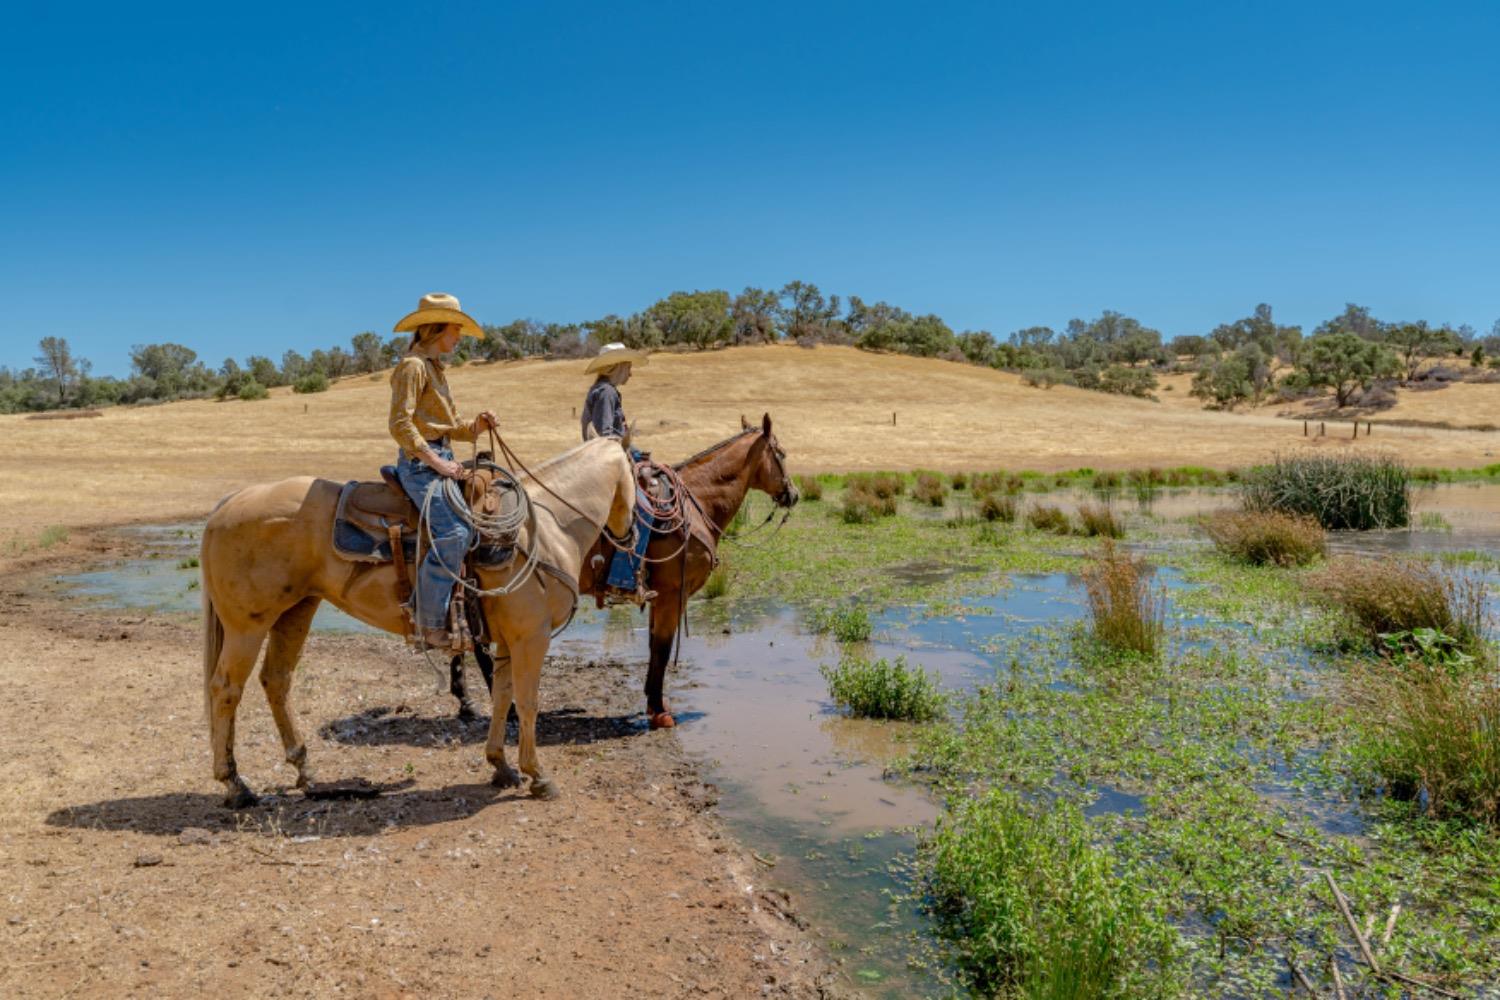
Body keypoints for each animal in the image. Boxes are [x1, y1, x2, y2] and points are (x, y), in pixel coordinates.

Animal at [199, 434, 633, 803]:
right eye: (639, 479)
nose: (628, 539)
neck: (547, 529)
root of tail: (229, 502)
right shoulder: (531, 637)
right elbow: (527, 702)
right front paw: (538, 776)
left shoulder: (509, 639)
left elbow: (502, 697)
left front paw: (501, 766)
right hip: (247, 625)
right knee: (225, 688)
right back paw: (235, 784)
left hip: (296, 611)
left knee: (277, 680)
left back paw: (305, 769)